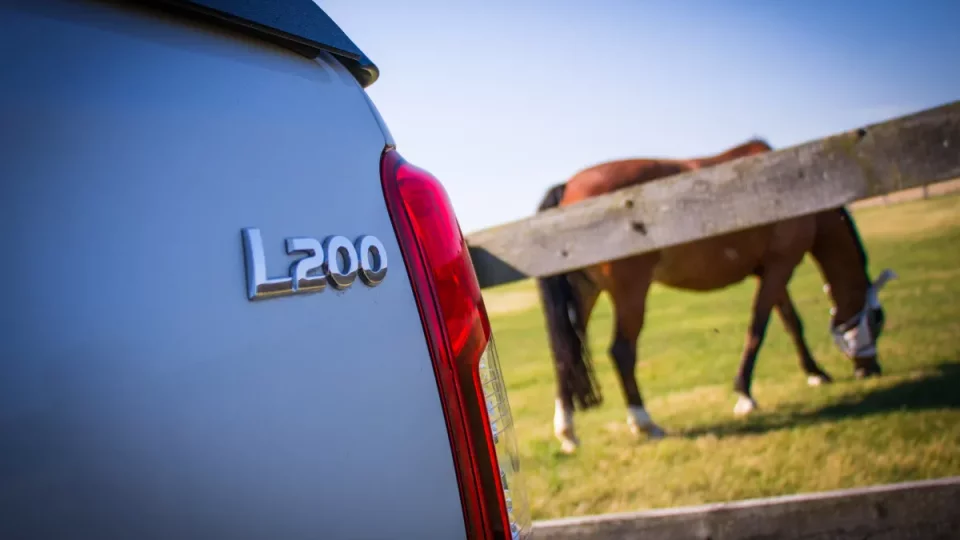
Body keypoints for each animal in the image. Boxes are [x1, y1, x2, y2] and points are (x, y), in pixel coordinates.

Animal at [536, 138, 896, 454]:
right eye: (878, 319)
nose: (870, 369)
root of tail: (568, 189)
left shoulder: (771, 270)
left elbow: (791, 322)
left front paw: (816, 373)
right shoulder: (781, 266)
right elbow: (758, 328)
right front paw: (744, 395)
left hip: (585, 293)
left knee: (564, 355)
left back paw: (568, 433)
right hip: (630, 291)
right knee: (621, 351)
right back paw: (644, 422)